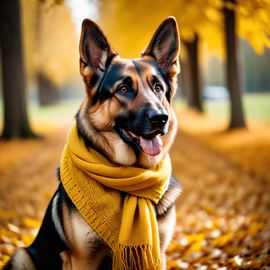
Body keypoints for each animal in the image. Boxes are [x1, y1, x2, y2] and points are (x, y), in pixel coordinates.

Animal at [3, 17, 181, 270]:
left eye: (158, 88)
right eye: (123, 89)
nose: (160, 118)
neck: (129, 176)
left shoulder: (159, 254)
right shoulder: (83, 259)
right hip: (22, 255)